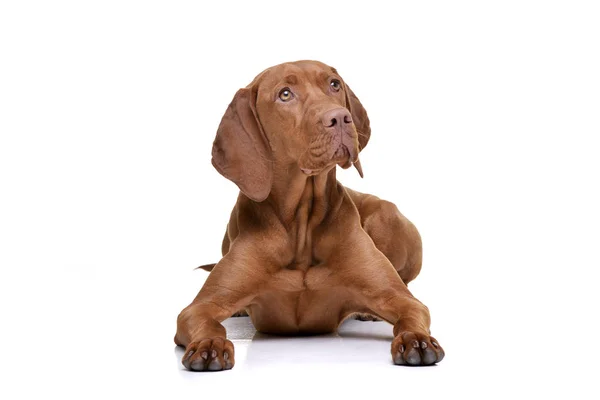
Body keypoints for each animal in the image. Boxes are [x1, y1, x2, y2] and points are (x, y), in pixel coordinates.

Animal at [176, 60, 442, 372]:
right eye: (285, 94)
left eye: (334, 84)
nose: (340, 118)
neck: (301, 224)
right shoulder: (198, 308)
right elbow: (208, 322)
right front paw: (210, 344)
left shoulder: (401, 299)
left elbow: (410, 313)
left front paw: (416, 339)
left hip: (385, 216)